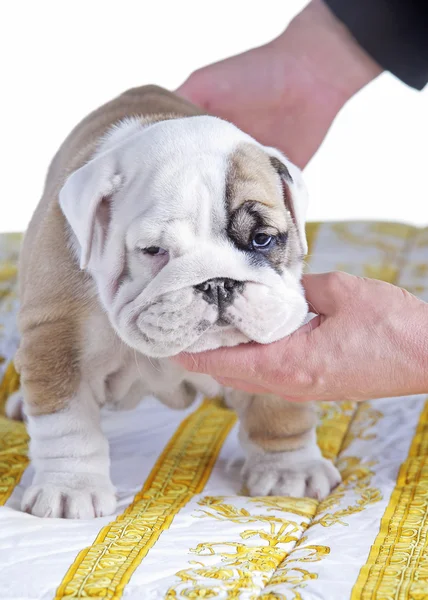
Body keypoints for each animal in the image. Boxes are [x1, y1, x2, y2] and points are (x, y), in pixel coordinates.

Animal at [6, 86, 340, 516]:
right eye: (154, 251)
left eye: (262, 238)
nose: (218, 283)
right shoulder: (58, 341)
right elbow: (67, 422)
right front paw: (70, 488)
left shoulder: (276, 333)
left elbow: (279, 408)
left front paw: (290, 469)